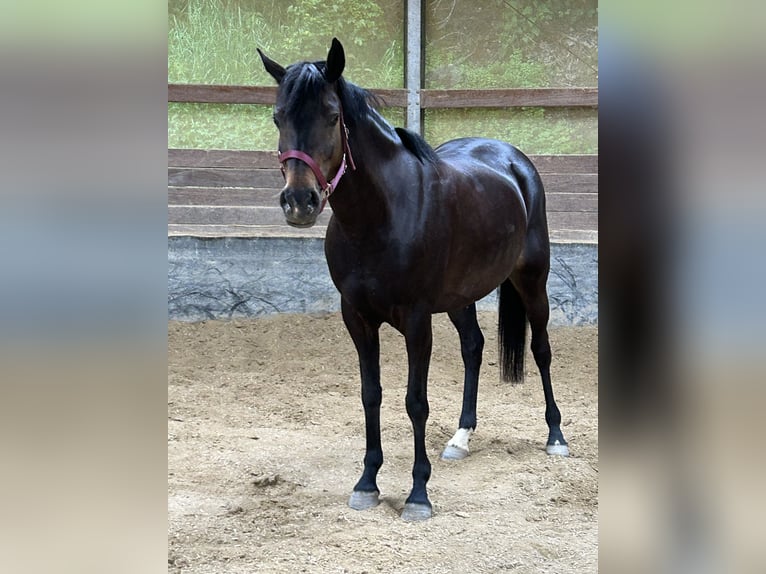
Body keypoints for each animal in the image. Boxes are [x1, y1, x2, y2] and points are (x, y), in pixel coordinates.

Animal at [262, 38, 568, 524]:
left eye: (331, 115)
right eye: (278, 117)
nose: (299, 201)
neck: (380, 217)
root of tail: (513, 158)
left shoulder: (417, 320)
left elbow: (415, 402)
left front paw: (418, 494)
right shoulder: (357, 318)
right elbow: (371, 395)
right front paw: (367, 483)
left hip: (532, 281)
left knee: (541, 349)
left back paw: (555, 436)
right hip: (461, 297)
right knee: (474, 348)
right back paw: (461, 438)